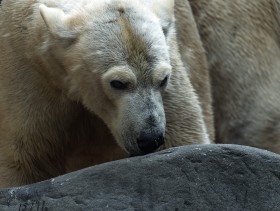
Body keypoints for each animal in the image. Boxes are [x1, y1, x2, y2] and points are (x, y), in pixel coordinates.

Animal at [0, 0, 210, 188]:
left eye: (163, 79)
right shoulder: (29, 75)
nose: (150, 139)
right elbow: (24, 158)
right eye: (118, 83)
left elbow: (184, 133)